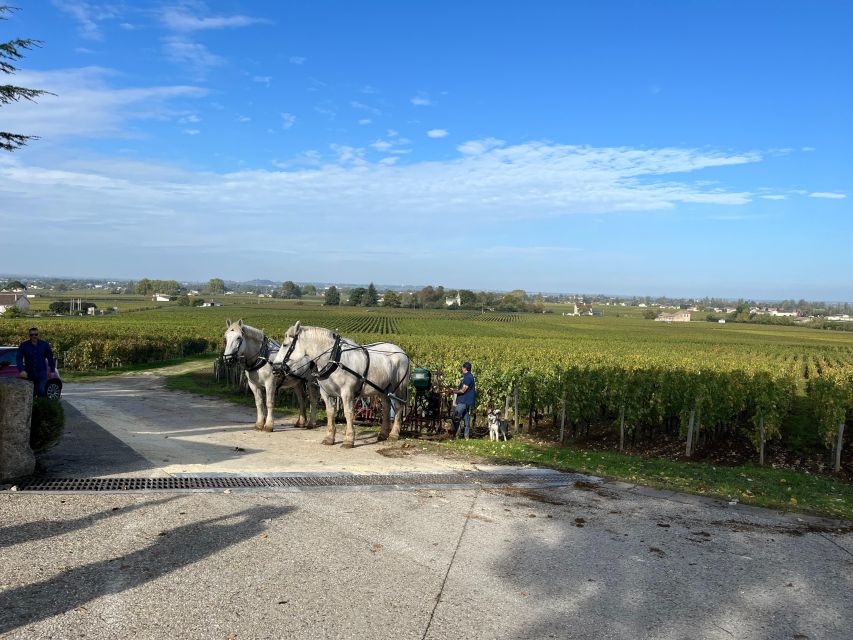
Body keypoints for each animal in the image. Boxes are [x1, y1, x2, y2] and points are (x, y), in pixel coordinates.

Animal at [272, 322, 408, 448]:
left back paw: (393, 434)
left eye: (285, 345)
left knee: (398, 407)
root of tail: (402, 353)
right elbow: (330, 412)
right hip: (383, 389)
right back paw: (383, 434)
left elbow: (348, 413)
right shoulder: (326, 393)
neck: (333, 360)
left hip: (399, 388)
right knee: (386, 407)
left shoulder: (347, 392)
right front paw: (329, 438)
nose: (275, 368)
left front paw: (349, 439)